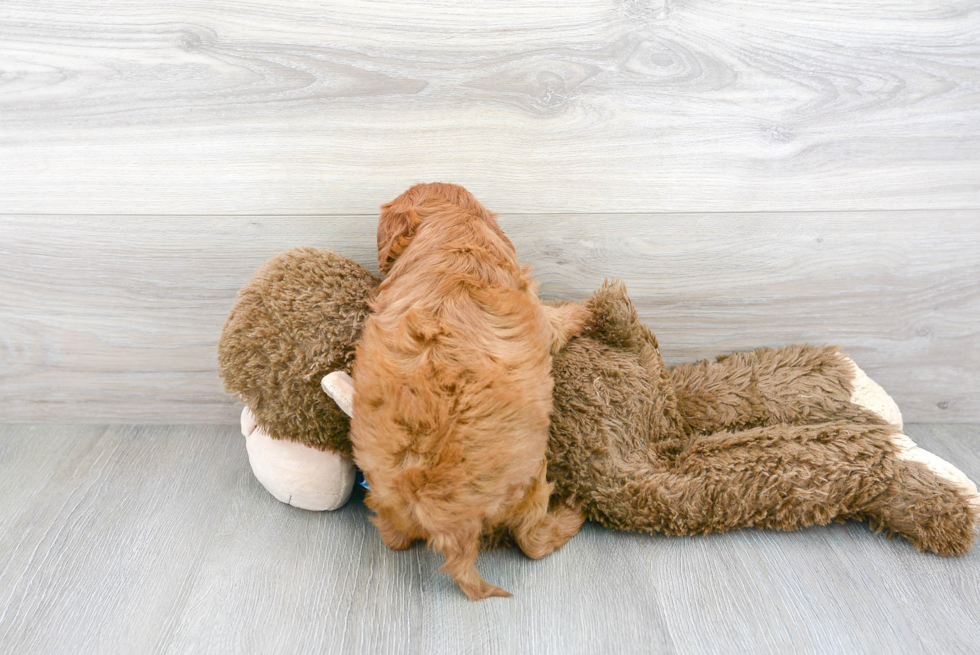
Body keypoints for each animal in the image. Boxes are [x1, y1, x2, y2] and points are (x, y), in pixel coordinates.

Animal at [352, 183, 588, 600]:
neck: (455, 234)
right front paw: (587, 310)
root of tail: (451, 529)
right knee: (532, 541)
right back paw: (571, 514)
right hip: (531, 481)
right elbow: (557, 319)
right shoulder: (538, 314)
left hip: (382, 494)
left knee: (394, 537)